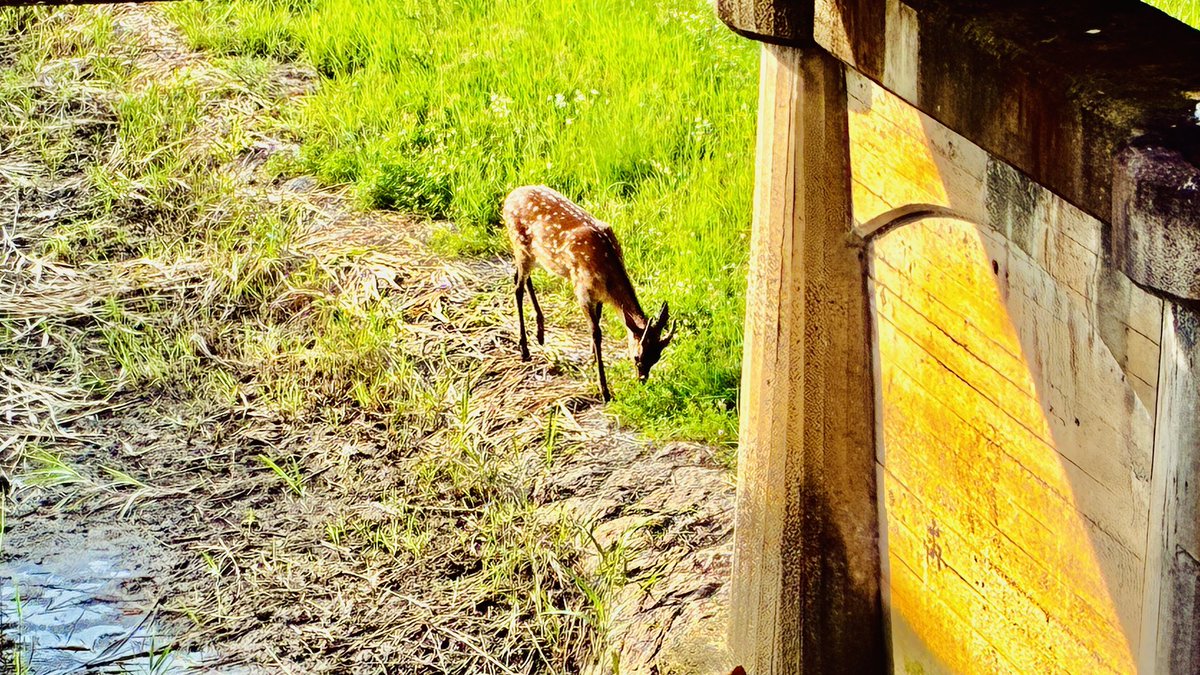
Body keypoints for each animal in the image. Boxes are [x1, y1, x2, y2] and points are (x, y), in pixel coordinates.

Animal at [503, 185, 674, 402]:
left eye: (657, 357)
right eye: (637, 356)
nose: (641, 378)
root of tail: (508, 199)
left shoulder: (598, 295)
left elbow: (598, 321)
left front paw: (592, 358)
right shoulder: (581, 288)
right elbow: (596, 332)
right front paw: (604, 390)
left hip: (534, 255)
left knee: (520, 278)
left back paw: (540, 333)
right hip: (520, 244)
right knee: (517, 288)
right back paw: (524, 350)